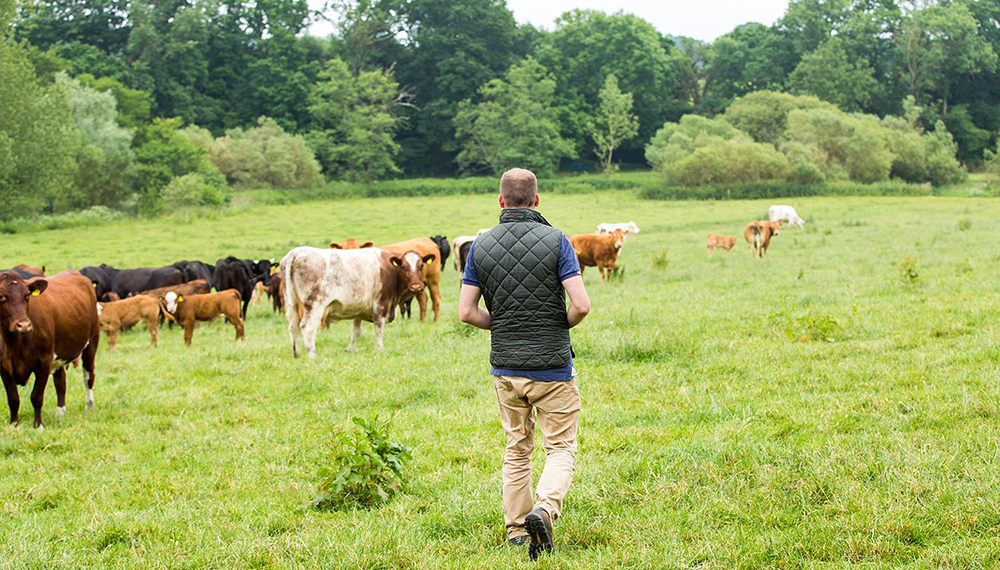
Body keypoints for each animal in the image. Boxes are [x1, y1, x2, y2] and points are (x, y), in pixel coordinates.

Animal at [0, 270, 98, 426]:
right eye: (2, 296)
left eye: (27, 295)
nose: (24, 325)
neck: (14, 344)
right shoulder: (3, 366)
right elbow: (13, 398)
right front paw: (14, 425)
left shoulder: (44, 361)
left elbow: (36, 396)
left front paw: (38, 425)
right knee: (61, 381)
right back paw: (60, 412)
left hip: (91, 342)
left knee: (88, 375)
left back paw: (89, 405)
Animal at [280, 244, 432, 356]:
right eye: (404, 267)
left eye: (421, 266)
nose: (416, 285)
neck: (389, 269)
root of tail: (296, 252)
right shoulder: (381, 305)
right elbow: (379, 329)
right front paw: (379, 349)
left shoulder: (359, 310)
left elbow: (356, 331)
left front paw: (350, 349)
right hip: (315, 305)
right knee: (308, 327)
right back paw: (312, 354)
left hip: (291, 304)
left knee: (293, 327)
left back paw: (296, 353)